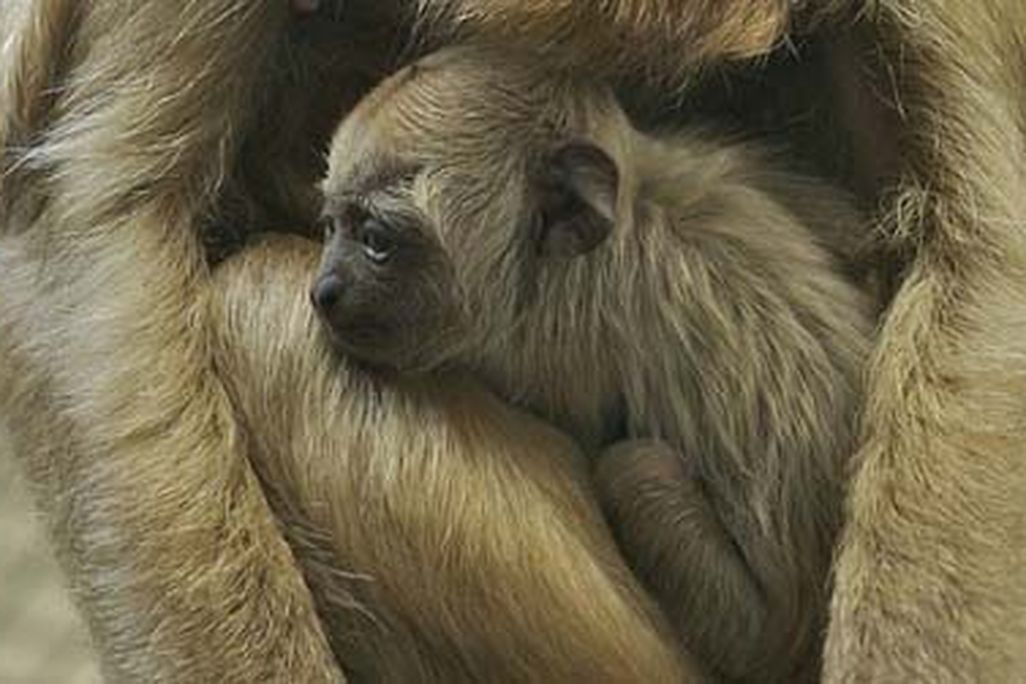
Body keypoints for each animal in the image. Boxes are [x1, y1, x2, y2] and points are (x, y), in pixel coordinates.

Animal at [312, 45, 872, 682]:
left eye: (376, 241)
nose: (324, 289)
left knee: (636, 468)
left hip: (744, 633)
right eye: (332, 227)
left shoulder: (555, 347)